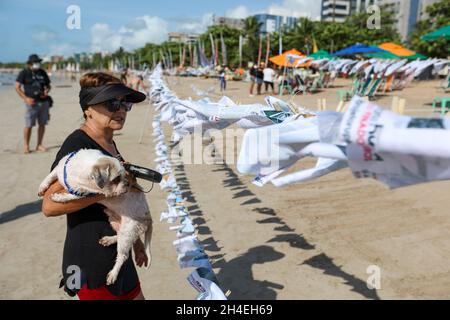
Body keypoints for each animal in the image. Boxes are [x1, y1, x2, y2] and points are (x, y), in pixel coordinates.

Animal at [37, 149, 153, 284]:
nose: (128, 183)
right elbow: (49, 176)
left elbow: (70, 196)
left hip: (128, 230)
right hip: (115, 221)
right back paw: (109, 239)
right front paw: (42, 187)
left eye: (126, 175)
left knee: (123, 255)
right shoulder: (60, 169)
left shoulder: (82, 194)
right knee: (119, 236)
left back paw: (113, 274)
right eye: (116, 178)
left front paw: (59, 197)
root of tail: (148, 217)